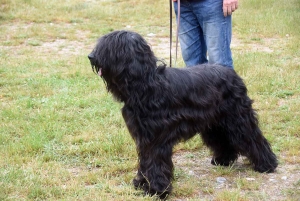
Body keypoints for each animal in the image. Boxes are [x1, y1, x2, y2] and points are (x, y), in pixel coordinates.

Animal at [88, 30, 278, 199]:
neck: (146, 85)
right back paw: (224, 160)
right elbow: (145, 161)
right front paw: (141, 183)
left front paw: (157, 190)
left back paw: (267, 164)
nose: (91, 56)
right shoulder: (143, 137)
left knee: (253, 138)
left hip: (238, 118)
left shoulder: (156, 139)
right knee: (222, 140)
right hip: (214, 123)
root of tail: (231, 73)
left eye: (111, 47)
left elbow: (155, 162)